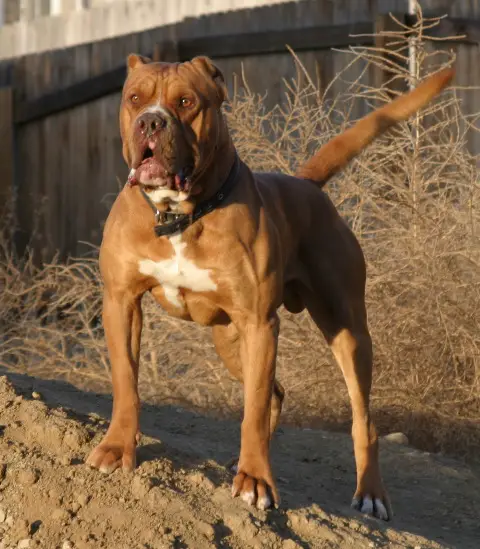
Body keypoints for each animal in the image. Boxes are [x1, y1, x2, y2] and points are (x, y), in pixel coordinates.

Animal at [85, 54, 454, 520]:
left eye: (186, 102)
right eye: (134, 99)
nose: (151, 122)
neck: (180, 214)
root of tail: (306, 185)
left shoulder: (261, 322)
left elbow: (255, 408)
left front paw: (257, 481)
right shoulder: (121, 303)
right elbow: (125, 382)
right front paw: (117, 448)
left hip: (347, 330)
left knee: (361, 418)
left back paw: (369, 493)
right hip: (229, 338)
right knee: (275, 392)